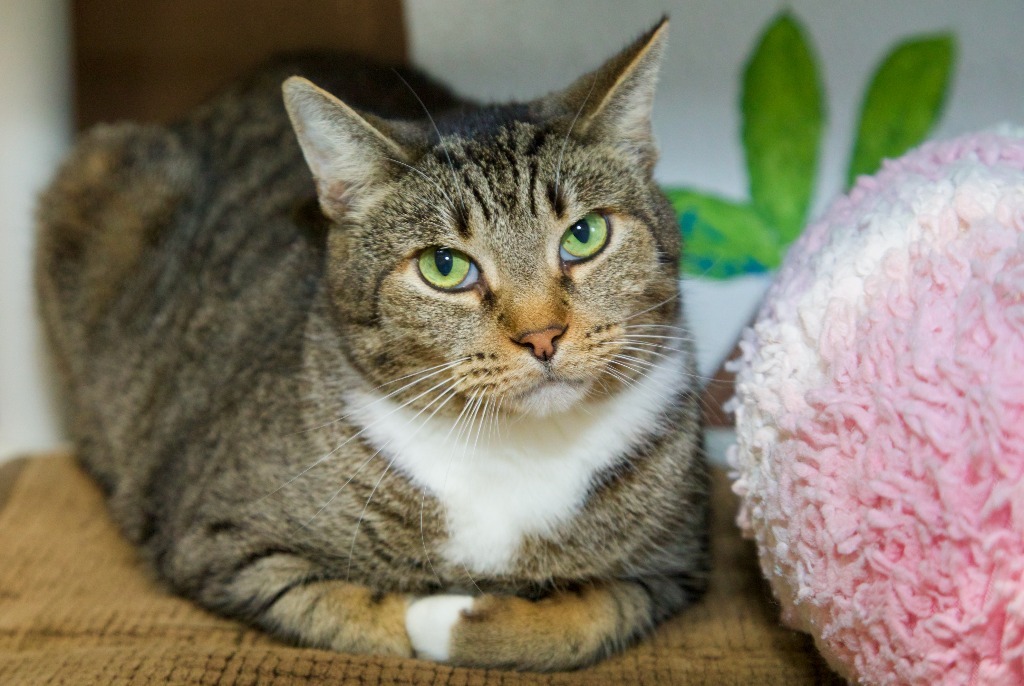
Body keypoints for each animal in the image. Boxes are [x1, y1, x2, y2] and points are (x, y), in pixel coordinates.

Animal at [37, 20, 712, 671]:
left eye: (584, 234)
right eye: (445, 266)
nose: (541, 335)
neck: (514, 447)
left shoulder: (674, 566)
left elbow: (582, 621)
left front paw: (466, 618)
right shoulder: (219, 538)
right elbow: (362, 614)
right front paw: (429, 612)